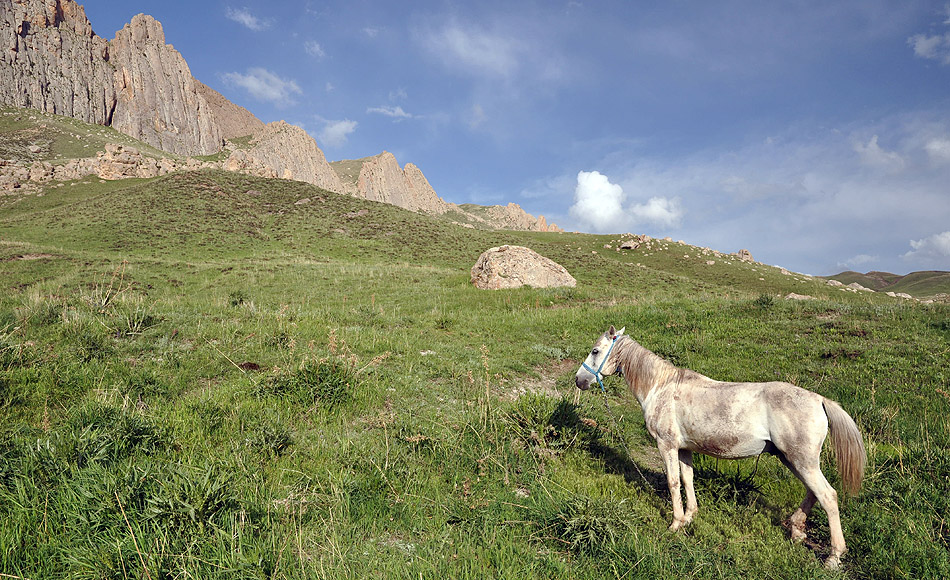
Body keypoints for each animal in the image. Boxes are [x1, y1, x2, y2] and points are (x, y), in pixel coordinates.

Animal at [576, 326, 868, 572]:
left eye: (595, 351)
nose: (579, 380)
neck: (661, 388)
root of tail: (819, 400)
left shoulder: (666, 445)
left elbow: (673, 482)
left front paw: (675, 524)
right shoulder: (684, 449)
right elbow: (688, 479)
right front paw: (689, 518)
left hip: (801, 460)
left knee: (828, 496)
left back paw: (833, 557)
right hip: (793, 459)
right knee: (813, 492)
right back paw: (797, 530)